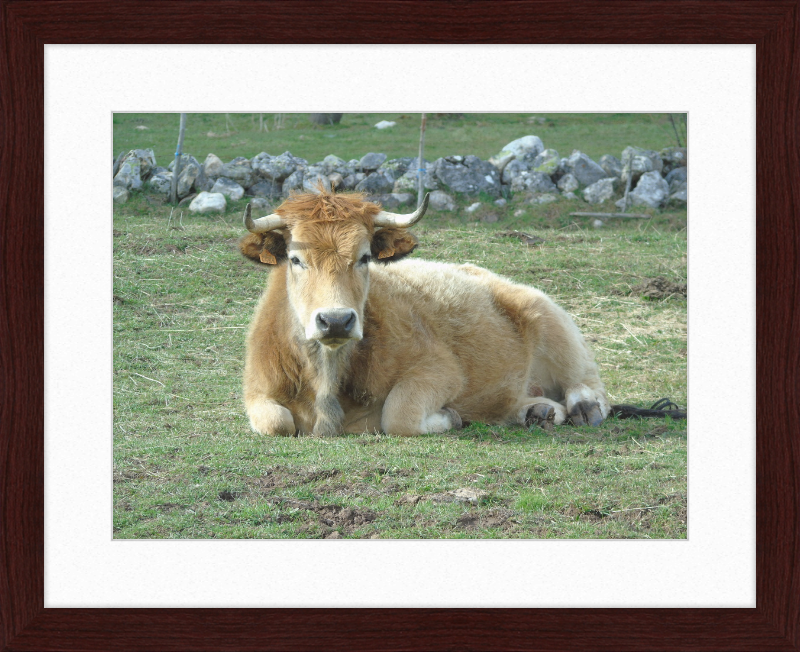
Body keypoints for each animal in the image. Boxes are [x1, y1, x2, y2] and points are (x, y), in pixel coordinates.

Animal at [238, 187, 608, 438]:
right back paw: (537, 411)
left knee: (587, 382)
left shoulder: (440, 370)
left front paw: (450, 418)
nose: (336, 321)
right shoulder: (257, 391)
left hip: (551, 320)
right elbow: (276, 422)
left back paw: (583, 407)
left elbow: (398, 414)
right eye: (296, 259)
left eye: (364, 257)